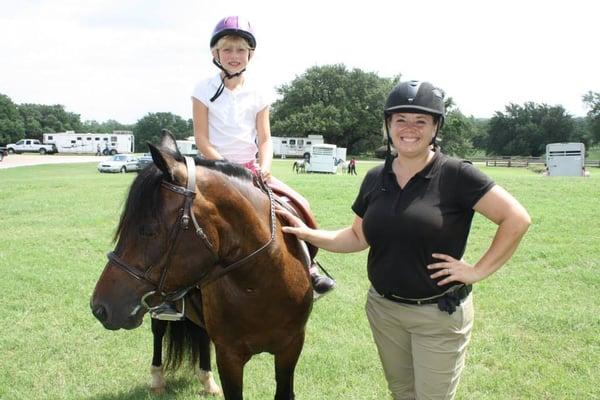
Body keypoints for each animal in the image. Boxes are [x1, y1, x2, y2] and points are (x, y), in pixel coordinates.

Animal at [90, 133, 314, 398]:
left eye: (148, 229)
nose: (99, 308)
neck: (261, 285)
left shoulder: (291, 347)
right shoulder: (229, 356)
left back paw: (207, 380)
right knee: (159, 332)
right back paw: (158, 380)